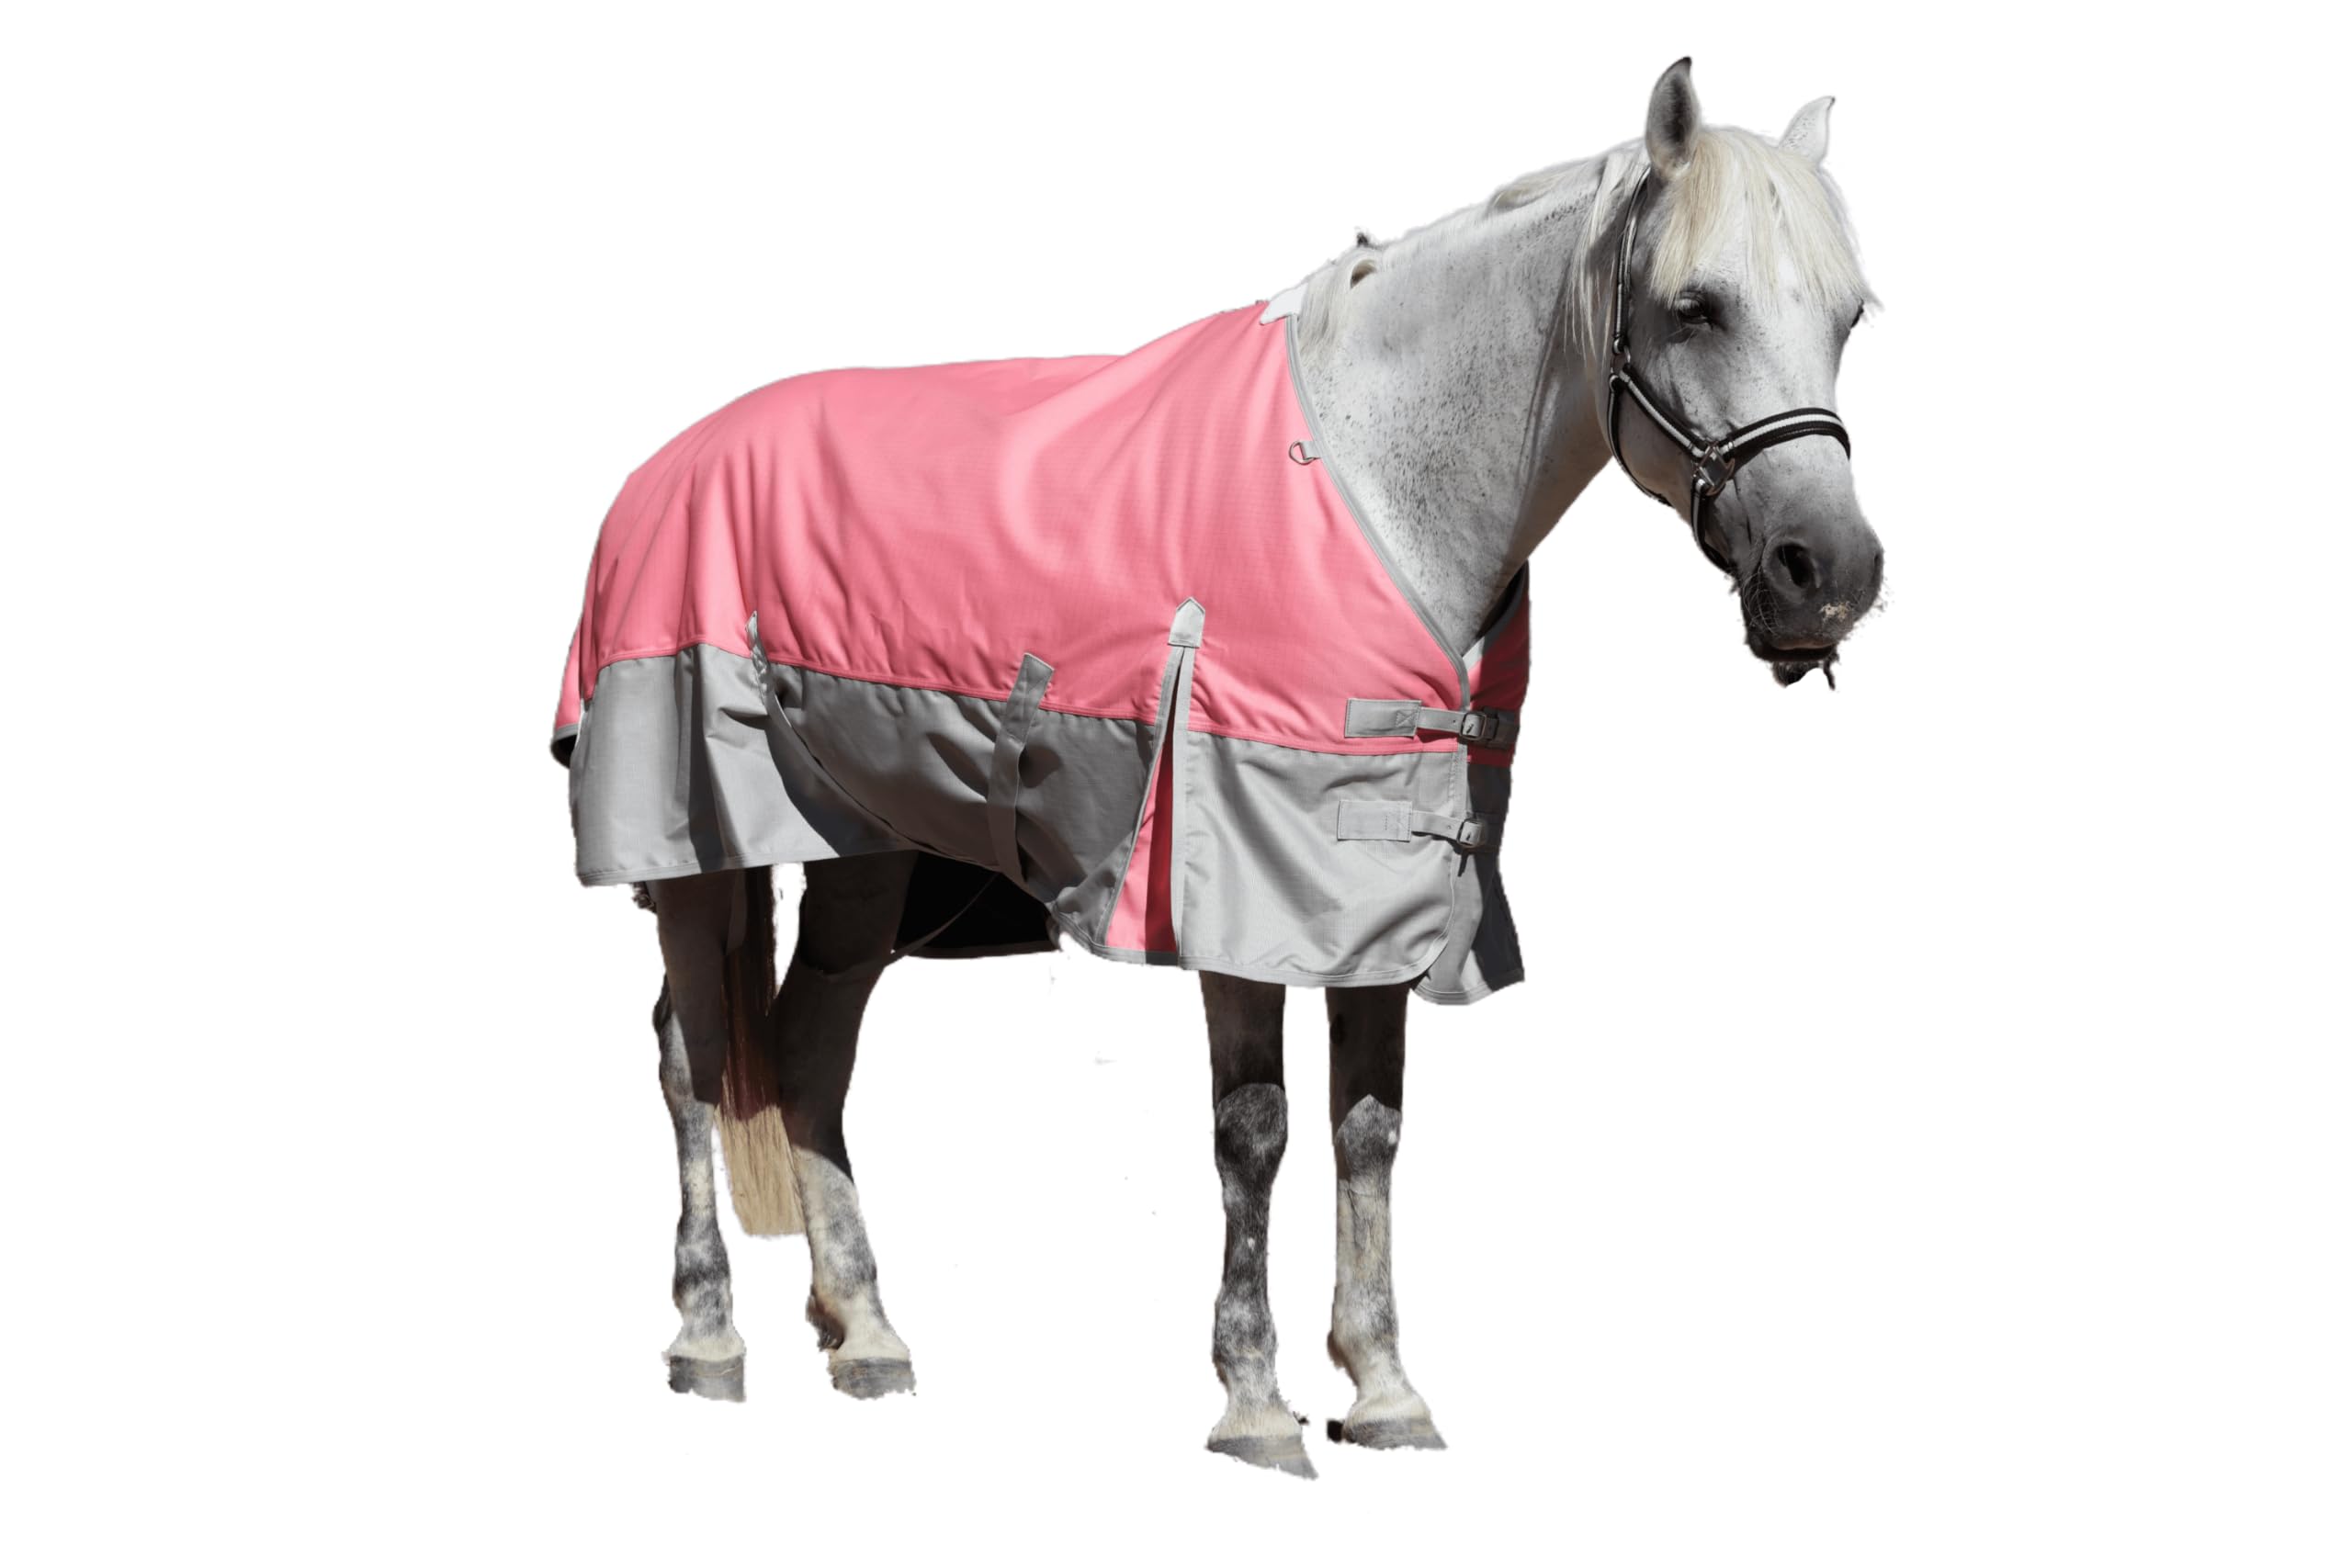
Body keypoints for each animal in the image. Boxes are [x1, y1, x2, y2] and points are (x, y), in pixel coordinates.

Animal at [550, 59, 1884, 1478]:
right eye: (1696, 305)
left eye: (1849, 315)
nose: (1830, 573)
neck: (1378, 487)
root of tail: (664, 465)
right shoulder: (1240, 882)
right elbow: (1257, 1130)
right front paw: (1254, 1402)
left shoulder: (1384, 887)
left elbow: (1370, 1126)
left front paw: (1385, 1390)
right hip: (695, 832)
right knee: (692, 1051)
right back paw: (708, 1336)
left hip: (867, 846)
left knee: (807, 1043)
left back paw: (867, 1332)